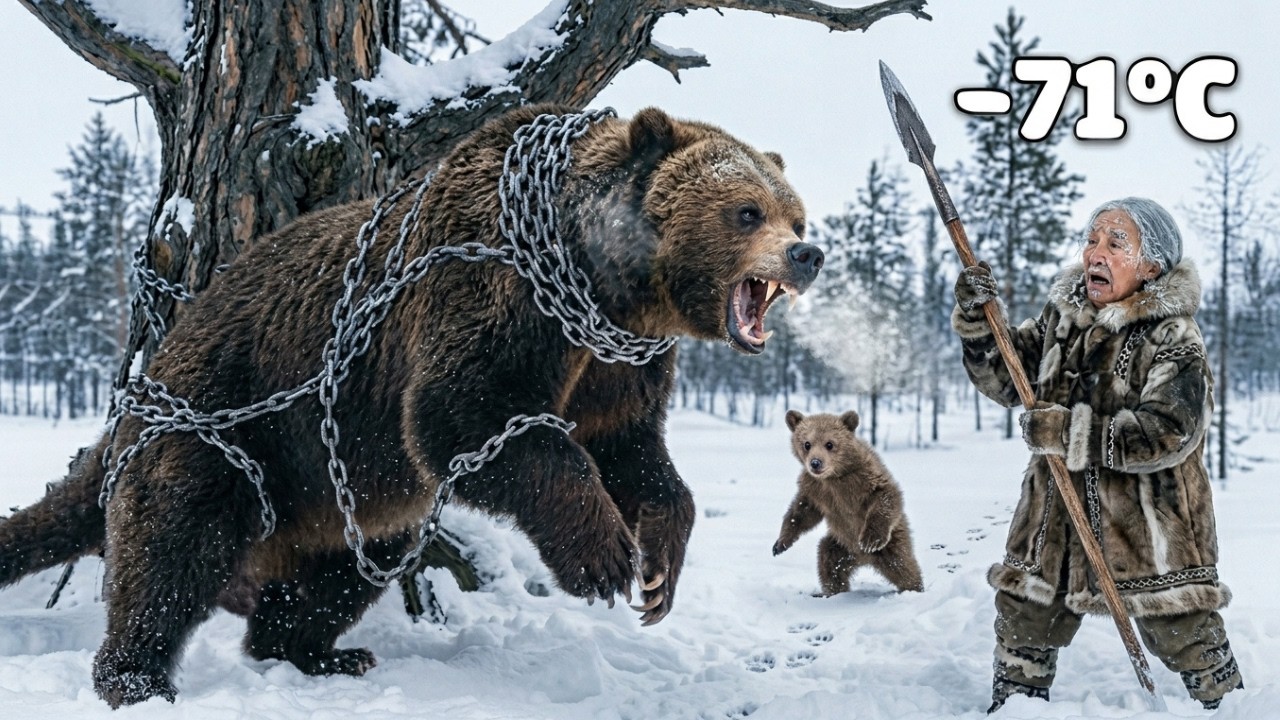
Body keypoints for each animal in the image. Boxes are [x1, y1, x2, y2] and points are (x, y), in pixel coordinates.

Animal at [0, 104, 825, 707]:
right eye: (747, 211)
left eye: (796, 213)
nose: (807, 254)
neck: (599, 285)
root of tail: (144, 381)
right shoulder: (491, 298)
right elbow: (465, 418)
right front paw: (602, 558)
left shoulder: (620, 362)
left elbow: (633, 450)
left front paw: (658, 571)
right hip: (227, 423)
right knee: (171, 551)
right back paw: (136, 678)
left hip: (336, 495)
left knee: (341, 573)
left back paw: (318, 653)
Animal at [772, 410, 923, 596]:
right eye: (807, 444)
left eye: (829, 444)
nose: (815, 463)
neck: (833, 476)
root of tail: (864, 559)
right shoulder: (815, 490)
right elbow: (801, 513)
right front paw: (779, 544)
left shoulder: (862, 478)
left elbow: (884, 495)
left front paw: (870, 540)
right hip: (841, 545)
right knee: (828, 562)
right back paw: (831, 592)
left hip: (893, 542)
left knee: (903, 566)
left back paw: (913, 588)